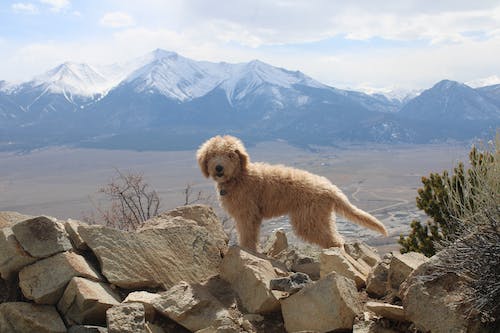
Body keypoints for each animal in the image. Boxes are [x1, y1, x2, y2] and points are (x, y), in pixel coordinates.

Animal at [197, 134, 388, 250]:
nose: (219, 168)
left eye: (230, 154)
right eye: (212, 154)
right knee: (335, 236)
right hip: (321, 217)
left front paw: (246, 249)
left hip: (308, 220)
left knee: (333, 240)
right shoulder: (251, 215)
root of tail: (330, 188)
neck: (239, 176)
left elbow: (247, 234)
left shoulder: (246, 213)